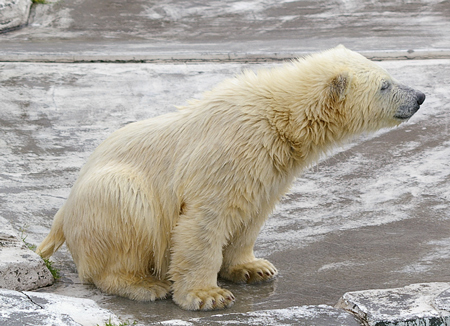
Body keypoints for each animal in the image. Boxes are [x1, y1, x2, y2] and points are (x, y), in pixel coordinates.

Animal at [36, 45, 426, 310]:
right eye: (385, 84)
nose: (421, 95)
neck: (279, 119)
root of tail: (63, 216)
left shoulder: (269, 169)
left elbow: (251, 216)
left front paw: (254, 268)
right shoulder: (226, 157)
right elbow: (204, 222)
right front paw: (207, 295)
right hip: (107, 194)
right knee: (126, 205)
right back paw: (144, 285)